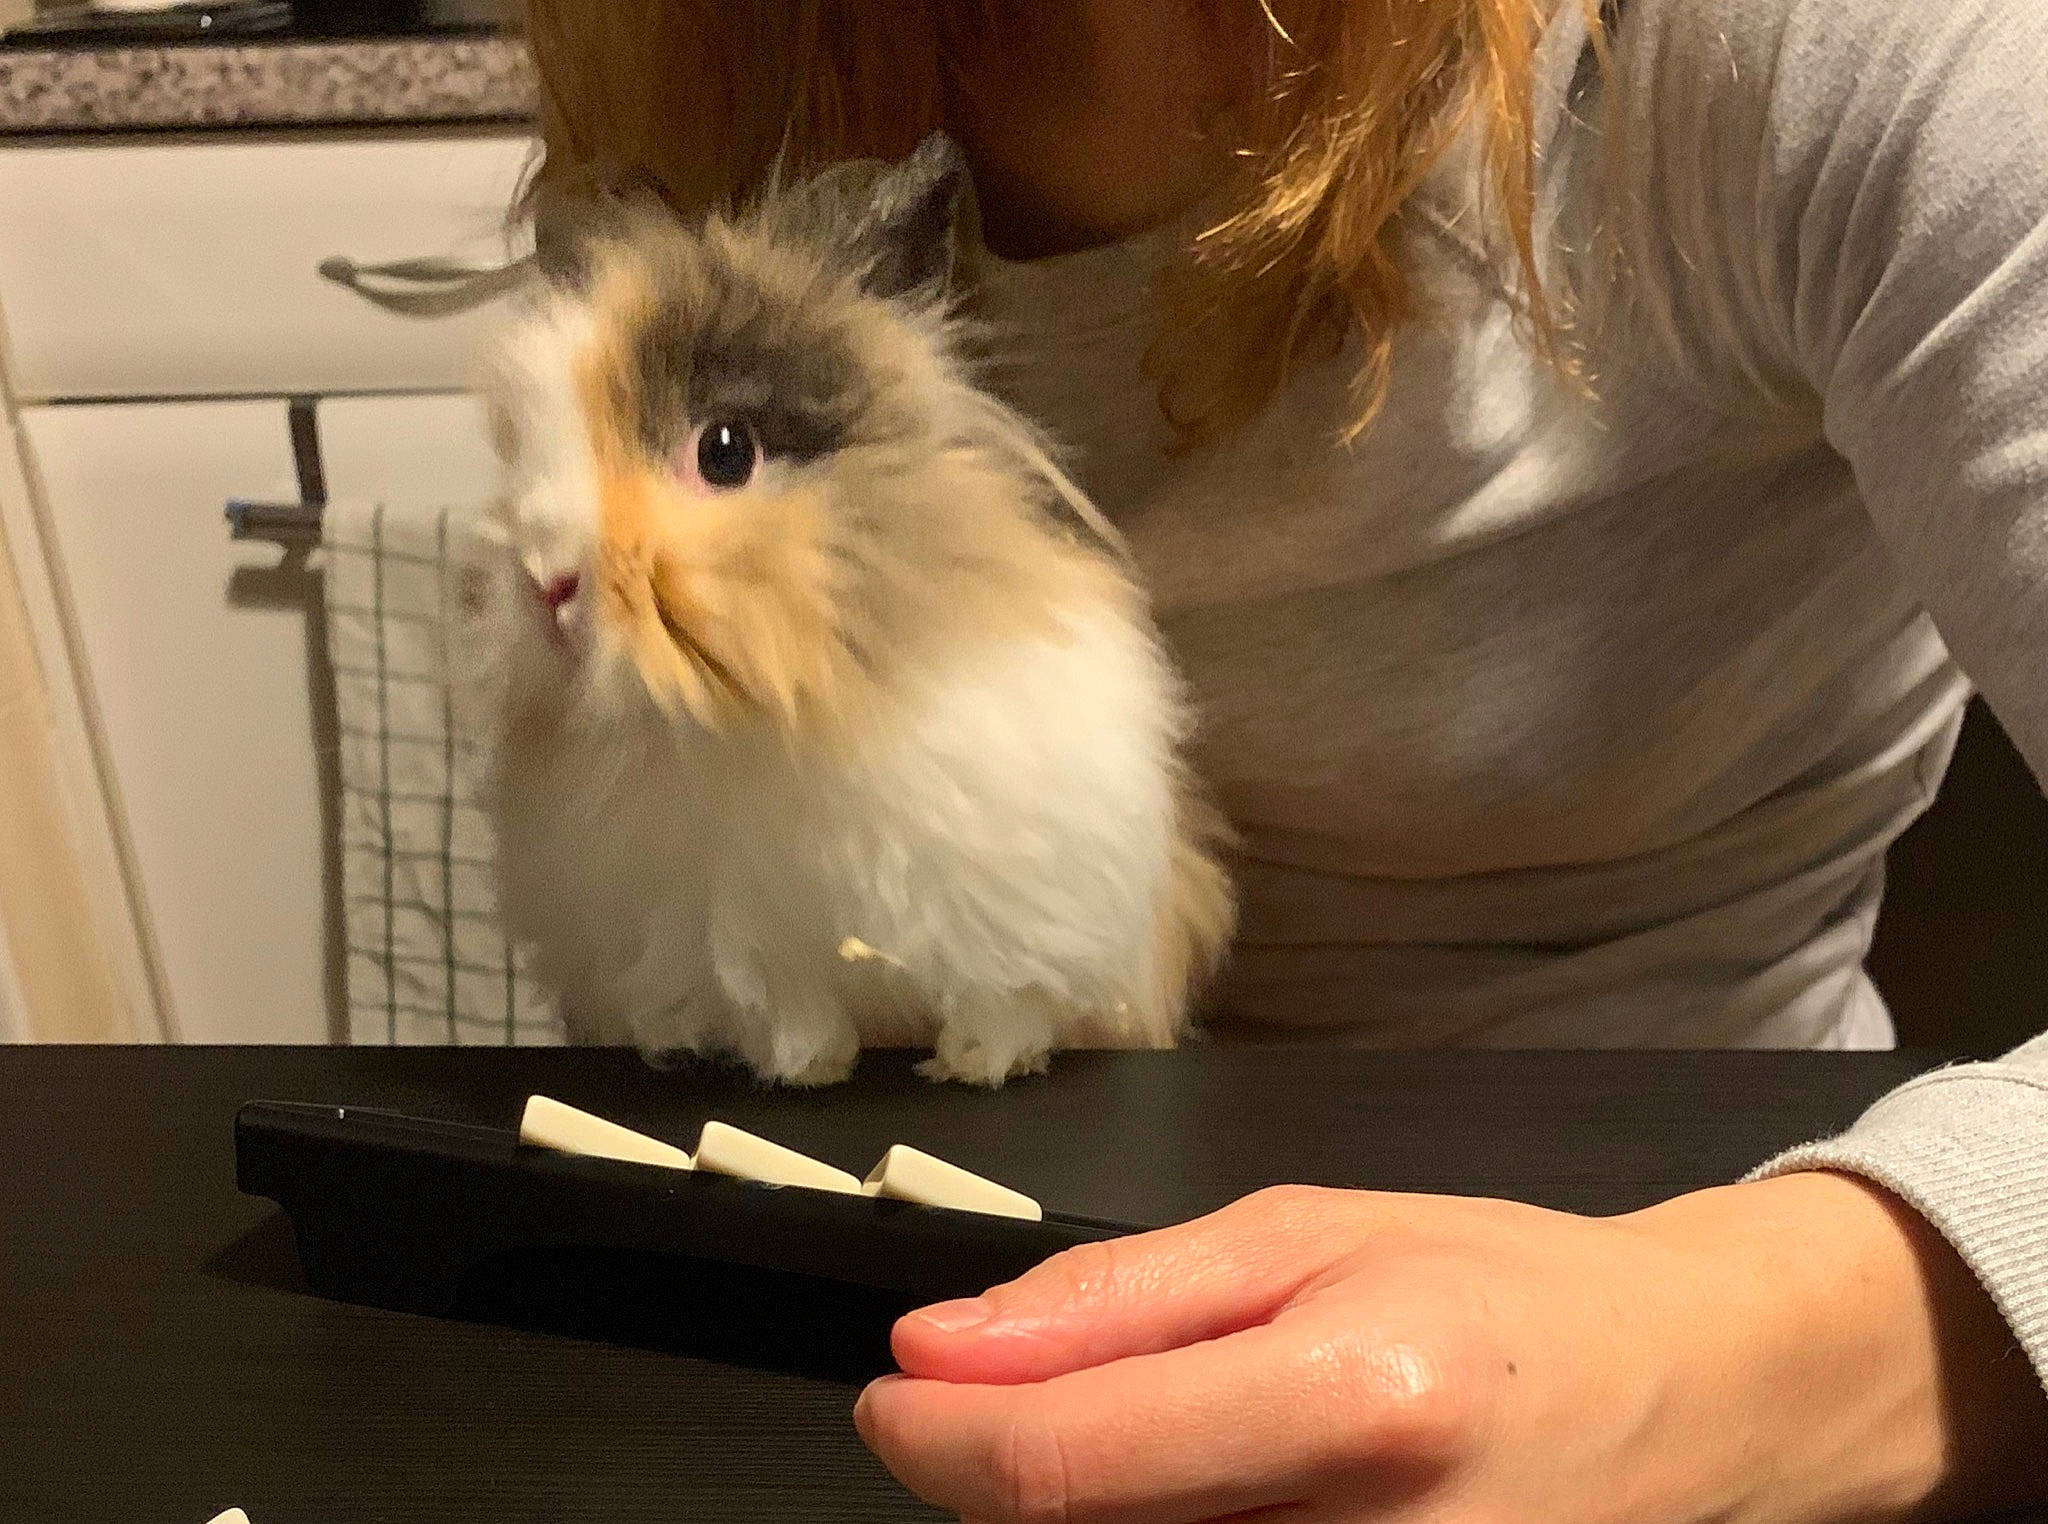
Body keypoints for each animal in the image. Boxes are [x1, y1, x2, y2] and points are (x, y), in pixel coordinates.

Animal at [458, 133, 1235, 1086]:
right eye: (520, 451)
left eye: (725, 452)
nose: (546, 583)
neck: (776, 713)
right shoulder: (740, 938)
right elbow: (791, 1009)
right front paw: (808, 1067)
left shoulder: (1021, 905)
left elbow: (1006, 1000)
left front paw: (978, 1064)